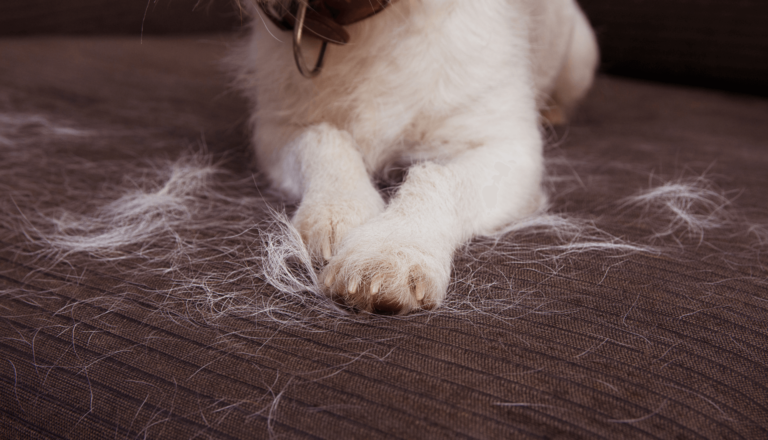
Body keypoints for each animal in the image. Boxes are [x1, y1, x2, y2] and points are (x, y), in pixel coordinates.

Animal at [234, 0, 600, 312]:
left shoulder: (509, 148)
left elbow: (439, 176)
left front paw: (392, 248)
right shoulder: (276, 131)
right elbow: (324, 139)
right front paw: (337, 209)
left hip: (580, 57)